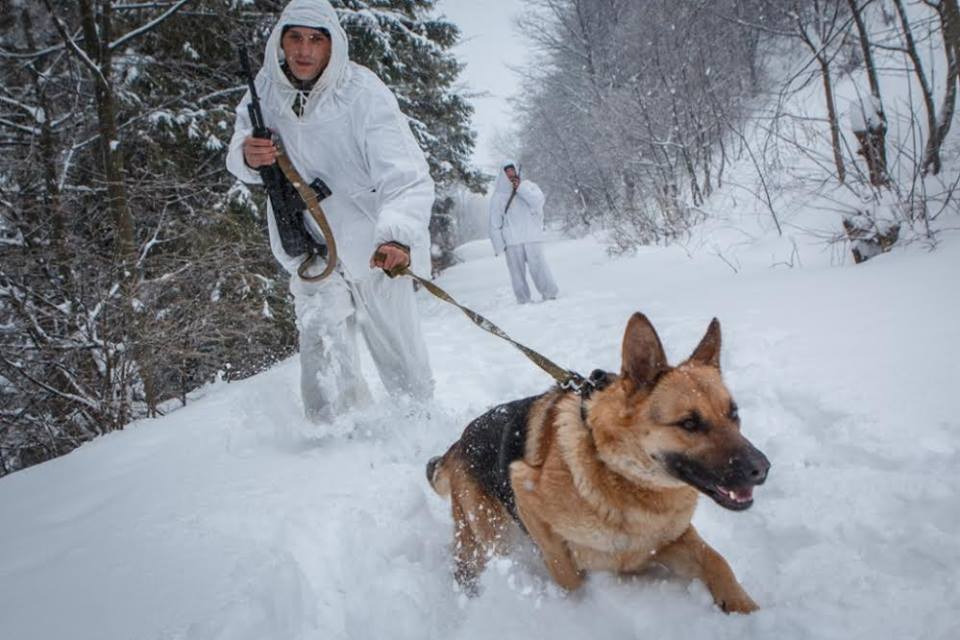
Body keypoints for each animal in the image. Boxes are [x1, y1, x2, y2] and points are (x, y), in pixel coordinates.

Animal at [428, 312, 772, 612]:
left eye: (734, 414)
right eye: (689, 423)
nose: (763, 469)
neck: (619, 472)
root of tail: (459, 441)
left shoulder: (670, 541)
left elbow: (717, 560)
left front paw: (745, 609)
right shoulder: (525, 491)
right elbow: (568, 575)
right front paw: (579, 611)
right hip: (489, 533)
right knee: (469, 562)